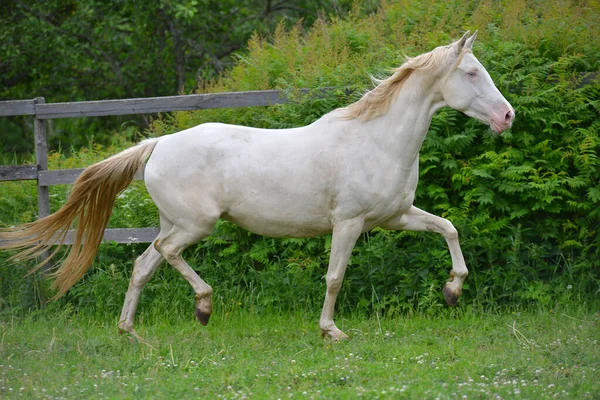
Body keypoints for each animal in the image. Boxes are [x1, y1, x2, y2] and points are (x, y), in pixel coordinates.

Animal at [1, 32, 516, 340]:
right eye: (471, 72)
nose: (508, 116)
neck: (377, 140)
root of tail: (157, 143)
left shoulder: (396, 216)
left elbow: (448, 229)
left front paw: (452, 291)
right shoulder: (348, 223)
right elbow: (335, 276)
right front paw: (331, 331)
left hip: (173, 222)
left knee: (143, 264)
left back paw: (131, 331)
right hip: (195, 224)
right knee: (166, 255)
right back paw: (203, 307)